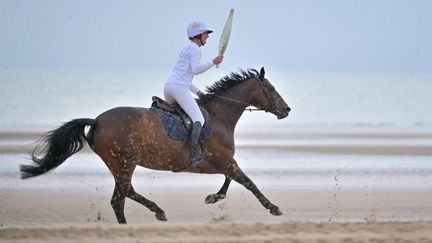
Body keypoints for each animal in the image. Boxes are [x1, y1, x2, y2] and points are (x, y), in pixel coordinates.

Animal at [19, 67, 290, 223]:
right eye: (271, 88)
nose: (286, 109)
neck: (219, 115)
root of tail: (97, 120)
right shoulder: (224, 160)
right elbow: (248, 182)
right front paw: (274, 208)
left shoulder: (221, 163)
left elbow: (230, 181)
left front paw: (214, 197)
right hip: (124, 162)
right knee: (119, 198)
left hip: (120, 164)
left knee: (125, 193)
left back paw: (155, 212)